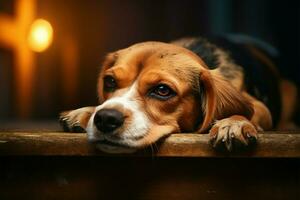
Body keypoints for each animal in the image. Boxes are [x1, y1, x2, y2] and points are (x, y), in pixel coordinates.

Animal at [59, 34, 296, 153]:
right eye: (109, 81)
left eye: (162, 90)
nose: (106, 119)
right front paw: (84, 112)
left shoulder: (260, 106)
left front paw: (233, 123)